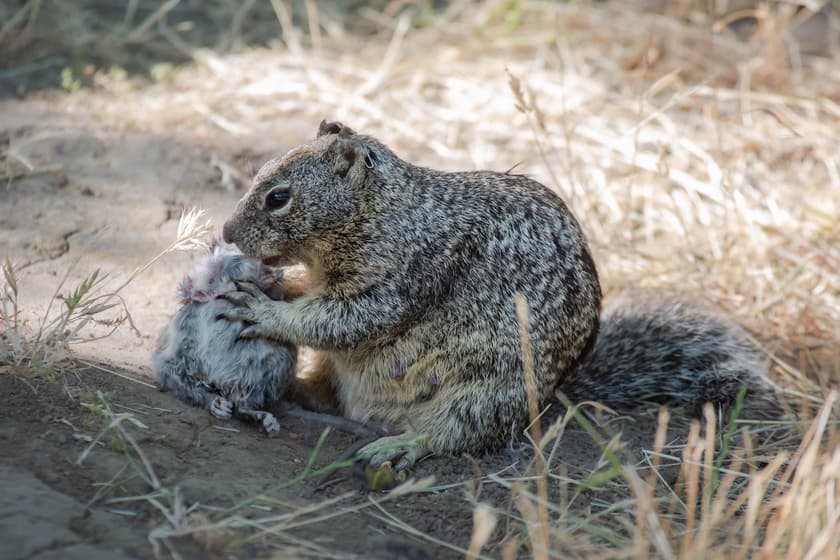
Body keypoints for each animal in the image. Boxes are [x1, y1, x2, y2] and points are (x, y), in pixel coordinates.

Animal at [218, 122, 780, 468]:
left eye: (278, 197)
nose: (225, 232)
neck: (386, 211)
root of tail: (551, 398)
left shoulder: (398, 278)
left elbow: (342, 320)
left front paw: (263, 309)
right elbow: (312, 298)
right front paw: (272, 285)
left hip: (482, 394)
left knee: (451, 436)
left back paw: (398, 445)